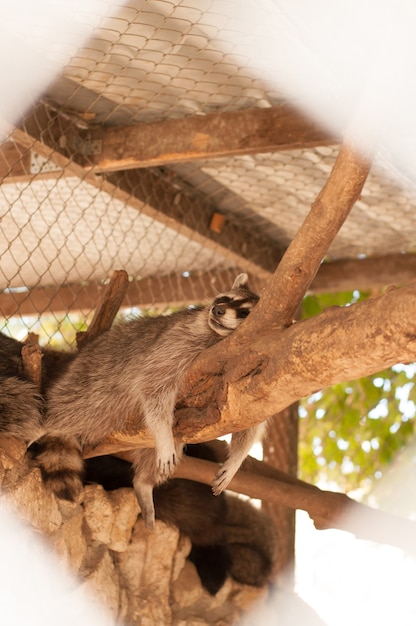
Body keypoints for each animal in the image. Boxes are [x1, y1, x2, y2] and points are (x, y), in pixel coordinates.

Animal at [38, 272, 260, 528]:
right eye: (225, 298)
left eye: (243, 313)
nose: (218, 309)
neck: (218, 338)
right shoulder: (178, 341)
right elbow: (153, 385)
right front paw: (163, 435)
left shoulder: (248, 364)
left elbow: (249, 416)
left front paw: (235, 460)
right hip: (93, 377)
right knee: (84, 405)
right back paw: (50, 425)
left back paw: (144, 481)